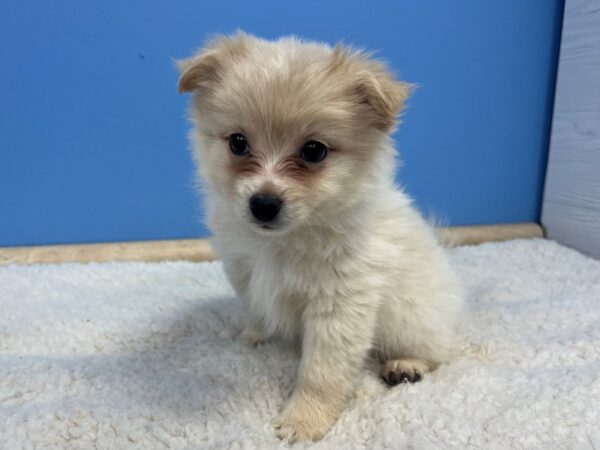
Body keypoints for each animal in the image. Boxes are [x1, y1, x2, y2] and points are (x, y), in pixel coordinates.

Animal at [176, 33, 462, 444]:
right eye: (238, 143)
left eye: (314, 151)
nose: (263, 204)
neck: (287, 239)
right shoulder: (243, 269)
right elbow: (256, 308)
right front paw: (254, 336)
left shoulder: (341, 303)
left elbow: (321, 371)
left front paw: (304, 420)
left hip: (411, 317)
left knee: (438, 349)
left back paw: (406, 366)